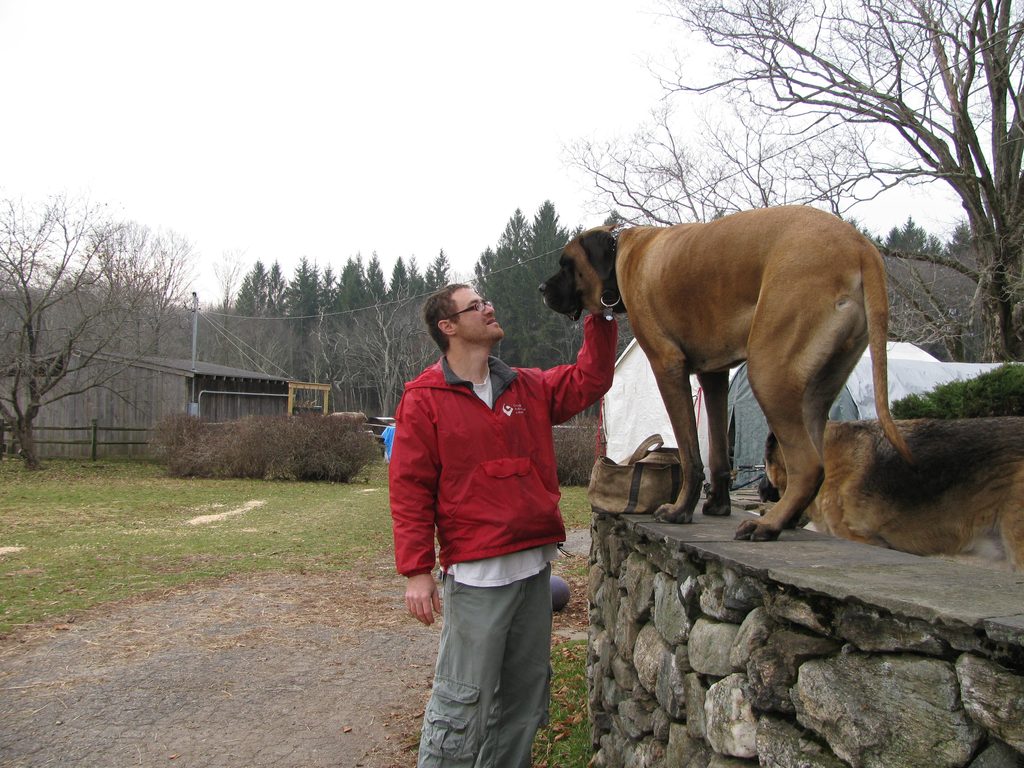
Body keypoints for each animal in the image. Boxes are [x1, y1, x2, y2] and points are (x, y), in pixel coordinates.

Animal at [540, 204, 909, 540]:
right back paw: (788, 518)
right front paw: (717, 504)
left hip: (769, 371)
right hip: (817, 391)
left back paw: (768, 524)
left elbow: (691, 453)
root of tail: (860, 246)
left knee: (808, 464)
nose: (542, 290)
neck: (622, 255)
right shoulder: (714, 376)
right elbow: (717, 451)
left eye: (566, 265)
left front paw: (680, 510)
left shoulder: (668, 366)